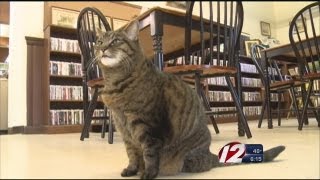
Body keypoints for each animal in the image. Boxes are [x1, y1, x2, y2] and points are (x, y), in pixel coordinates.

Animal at [93, 20, 284, 179]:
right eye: (99, 42)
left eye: (115, 41)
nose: (102, 49)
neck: (116, 81)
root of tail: (210, 154)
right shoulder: (123, 128)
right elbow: (132, 153)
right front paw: (132, 169)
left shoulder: (148, 127)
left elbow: (149, 154)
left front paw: (148, 173)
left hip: (186, 158)